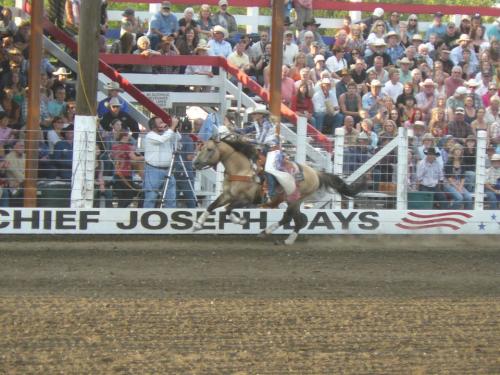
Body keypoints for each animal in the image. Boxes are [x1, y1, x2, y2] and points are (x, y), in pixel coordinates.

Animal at [192, 138, 364, 247]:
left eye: (209, 149)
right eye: (200, 148)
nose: (195, 163)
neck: (243, 170)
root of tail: (315, 172)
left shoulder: (246, 200)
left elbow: (227, 210)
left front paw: (241, 221)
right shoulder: (228, 195)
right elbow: (212, 207)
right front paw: (198, 224)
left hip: (295, 200)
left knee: (293, 219)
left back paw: (276, 236)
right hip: (293, 201)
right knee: (296, 220)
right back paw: (275, 235)